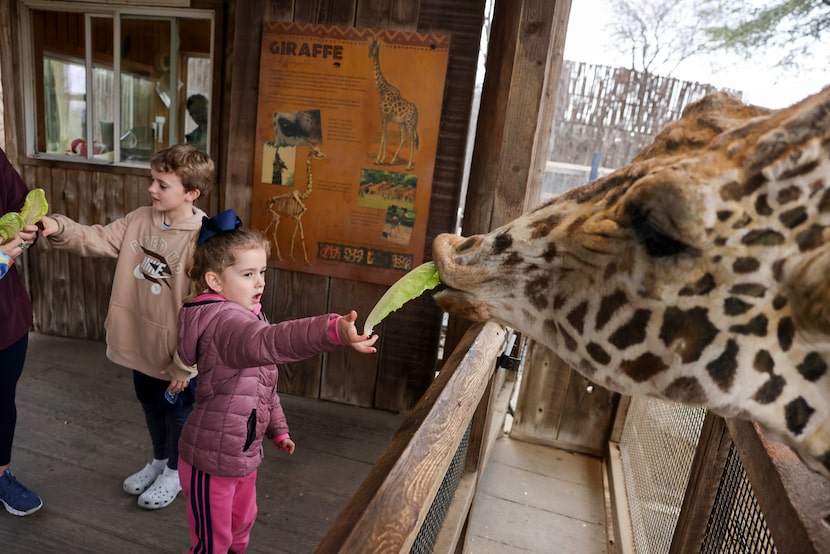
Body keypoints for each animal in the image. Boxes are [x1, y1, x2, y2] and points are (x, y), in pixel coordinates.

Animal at [368, 38, 419, 171]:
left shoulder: (384, 116)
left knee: (412, 140)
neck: (382, 90)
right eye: (369, 47)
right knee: (404, 138)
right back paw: (392, 161)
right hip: (403, 123)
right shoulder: (385, 117)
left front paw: (378, 160)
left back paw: (409, 165)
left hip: (410, 123)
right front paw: (382, 159)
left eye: (376, 47)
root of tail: (417, 113)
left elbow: (383, 136)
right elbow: (385, 135)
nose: (369, 54)